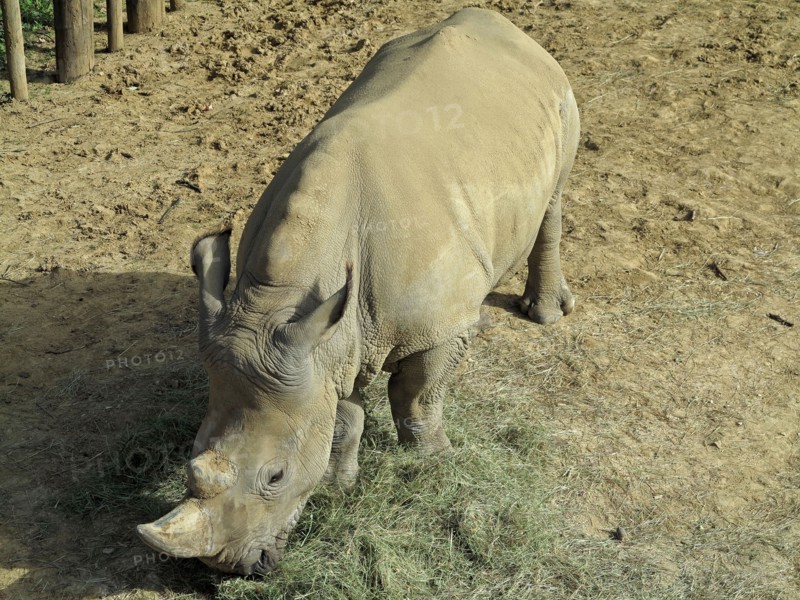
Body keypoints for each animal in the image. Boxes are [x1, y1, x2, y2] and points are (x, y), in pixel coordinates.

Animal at [137, 7, 579, 575]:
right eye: (192, 455)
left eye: (275, 476)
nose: (234, 569)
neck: (276, 301)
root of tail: (503, 26)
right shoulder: (318, 340)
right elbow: (339, 415)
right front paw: (338, 481)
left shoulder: (440, 324)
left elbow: (418, 397)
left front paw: (432, 462)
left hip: (557, 93)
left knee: (556, 194)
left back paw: (544, 315)